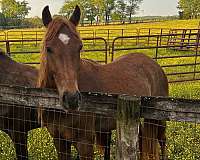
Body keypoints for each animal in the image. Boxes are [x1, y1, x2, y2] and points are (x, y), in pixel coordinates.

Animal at [38, 5, 169, 160]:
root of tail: (154, 64)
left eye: (79, 47)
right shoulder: (59, 141)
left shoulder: (85, 143)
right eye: (48, 48)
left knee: (162, 140)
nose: (72, 99)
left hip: (159, 120)